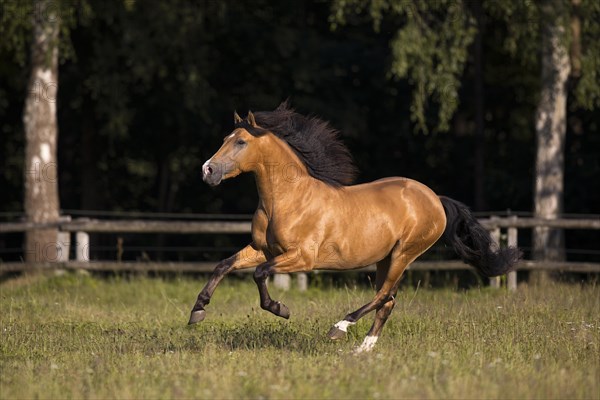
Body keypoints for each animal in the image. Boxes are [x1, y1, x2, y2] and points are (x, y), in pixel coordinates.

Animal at [189, 102, 520, 354]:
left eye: (240, 142)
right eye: (225, 138)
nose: (207, 170)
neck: (288, 199)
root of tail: (435, 199)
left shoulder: (301, 258)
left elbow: (259, 274)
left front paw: (280, 308)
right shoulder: (263, 250)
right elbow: (224, 265)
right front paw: (197, 311)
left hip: (405, 253)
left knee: (384, 296)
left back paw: (340, 328)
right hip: (386, 258)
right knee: (388, 301)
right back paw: (363, 349)